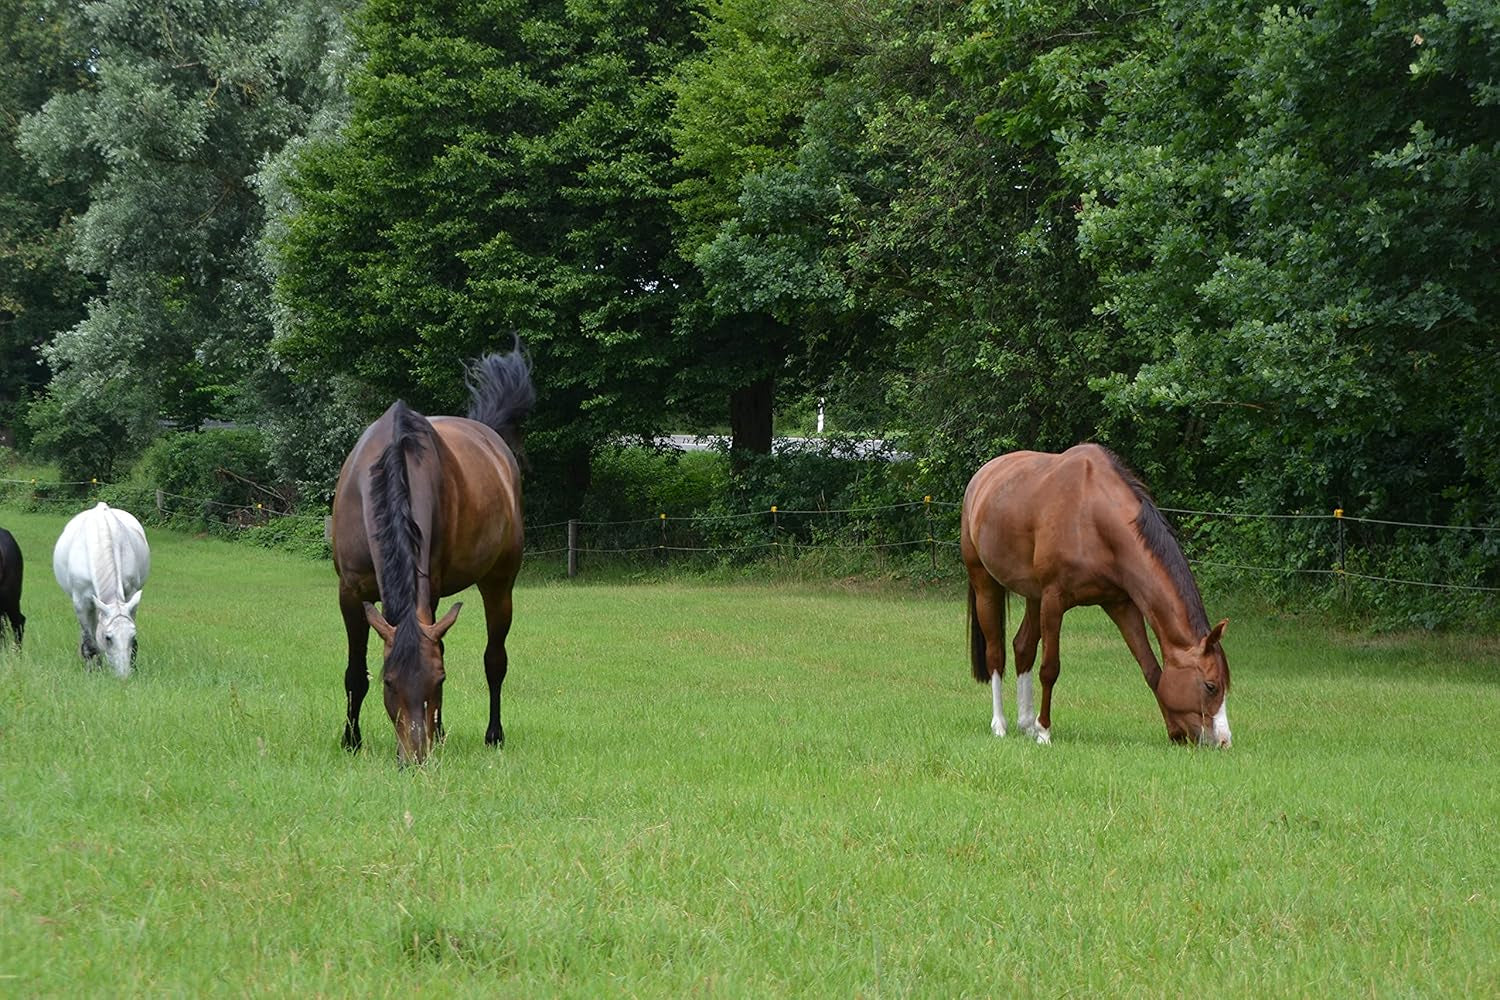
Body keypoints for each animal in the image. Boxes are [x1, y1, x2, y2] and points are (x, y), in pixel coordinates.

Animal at [53, 503, 150, 677]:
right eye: (108, 638)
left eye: (132, 636)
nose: (123, 677)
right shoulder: (81, 603)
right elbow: (90, 643)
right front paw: (94, 672)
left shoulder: (130, 594)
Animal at [331, 345, 535, 765]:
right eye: (389, 681)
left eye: (438, 680)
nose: (414, 756)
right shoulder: (349, 592)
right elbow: (355, 673)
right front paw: (351, 740)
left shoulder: (434, 586)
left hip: (499, 583)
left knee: (495, 660)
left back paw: (491, 735)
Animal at [961, 444, 1231, 746]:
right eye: (1211, 686)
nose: (1224, 741)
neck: (1093, 516)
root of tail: (981, 477)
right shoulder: (1054, 600)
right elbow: (1050, 668)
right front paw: (1044, 731)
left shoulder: (1121, 604)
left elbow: (1151, 670)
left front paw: (1174, 732)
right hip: (985, 584)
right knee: (996, 654)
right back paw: (1001, 725)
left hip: (1033, 597)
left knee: (1022, 647)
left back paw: (1026, 724)